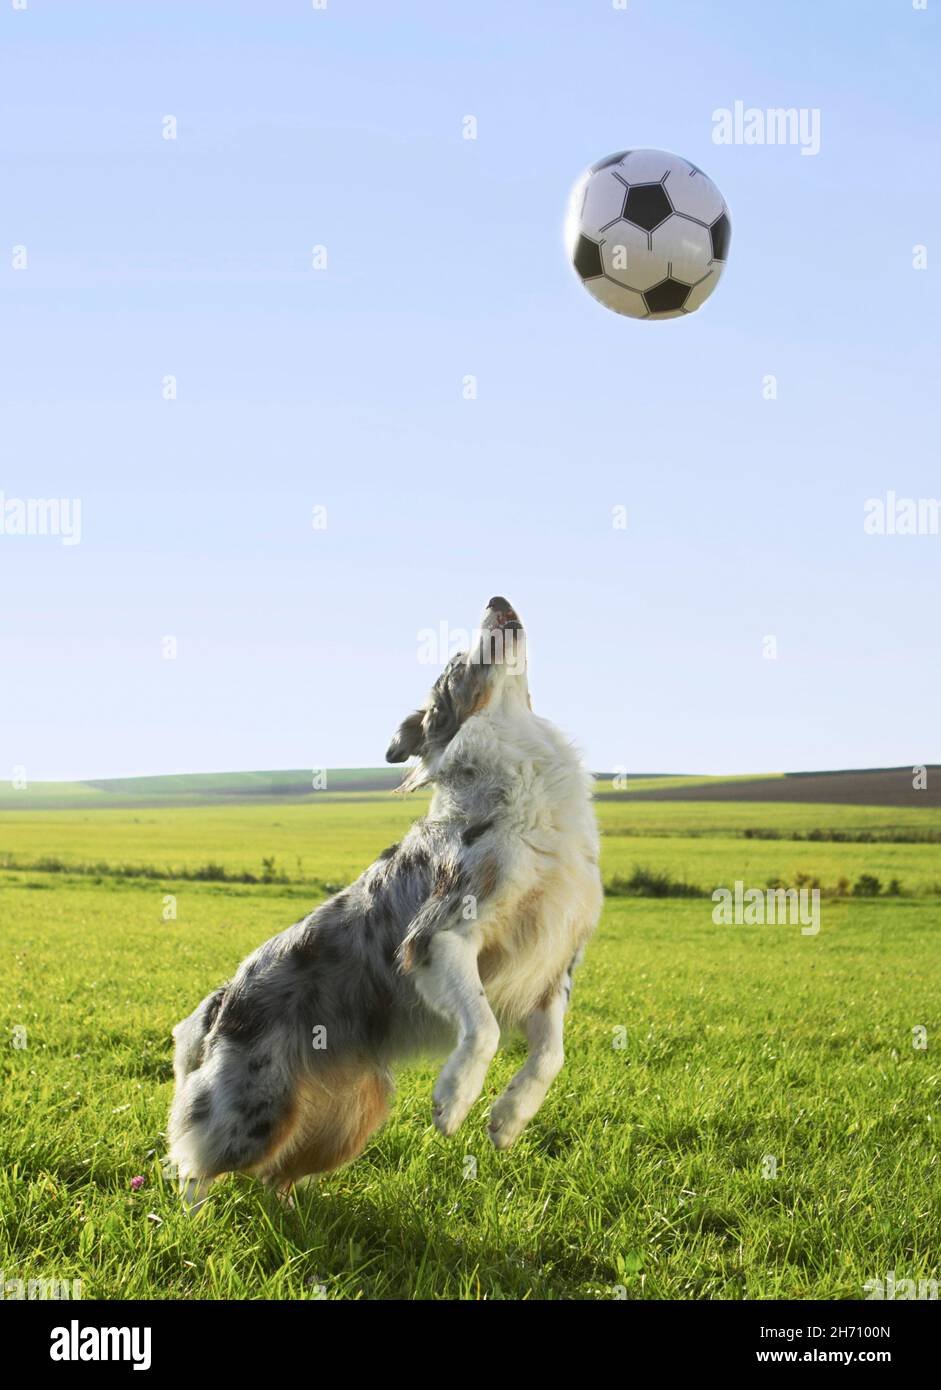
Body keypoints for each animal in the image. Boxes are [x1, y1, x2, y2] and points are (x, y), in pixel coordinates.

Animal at [168, 600, 603, 1206]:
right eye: (458, 661)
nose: (497, 600)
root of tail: (223, 995)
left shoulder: (551, 962)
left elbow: (550, 1055)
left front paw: (508, 1119)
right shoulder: (441, 933)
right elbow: (484, 1025)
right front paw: (454, 1101)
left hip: (354, 1111)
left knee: (278, 1172)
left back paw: (291, 1213)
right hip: (254, 1107)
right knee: (197, 1157)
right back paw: (187, 1218)